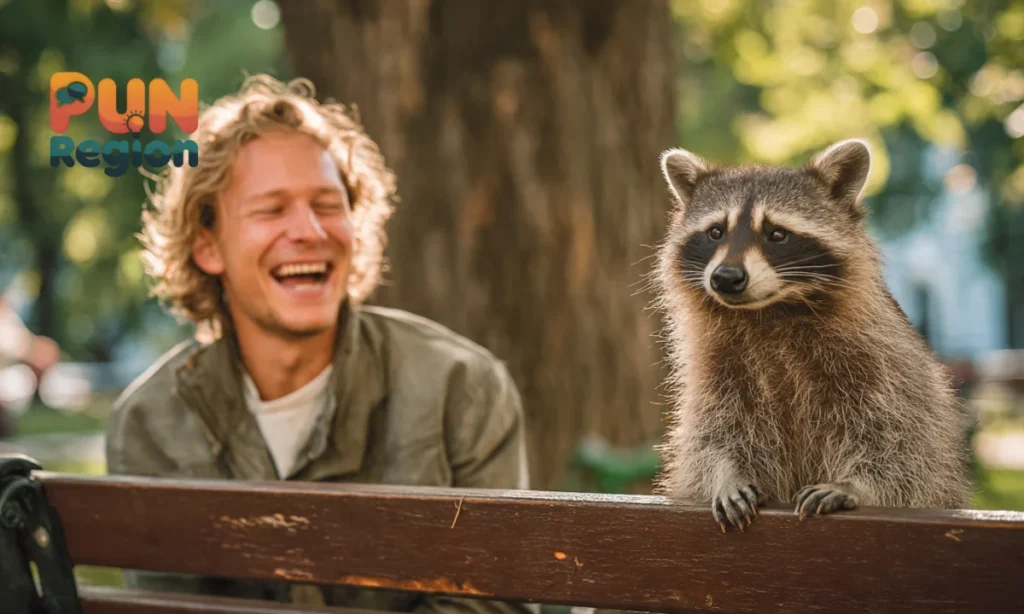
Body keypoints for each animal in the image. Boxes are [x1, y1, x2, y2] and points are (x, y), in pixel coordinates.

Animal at [650, 139, 974, 532]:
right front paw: (726, 475)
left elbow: (904, 447)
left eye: (776, 234)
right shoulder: (716, 368)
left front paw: (853, 485)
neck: (771, 312)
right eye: (716, 232)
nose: (725, 277)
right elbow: (712, 434)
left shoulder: (888, 361)